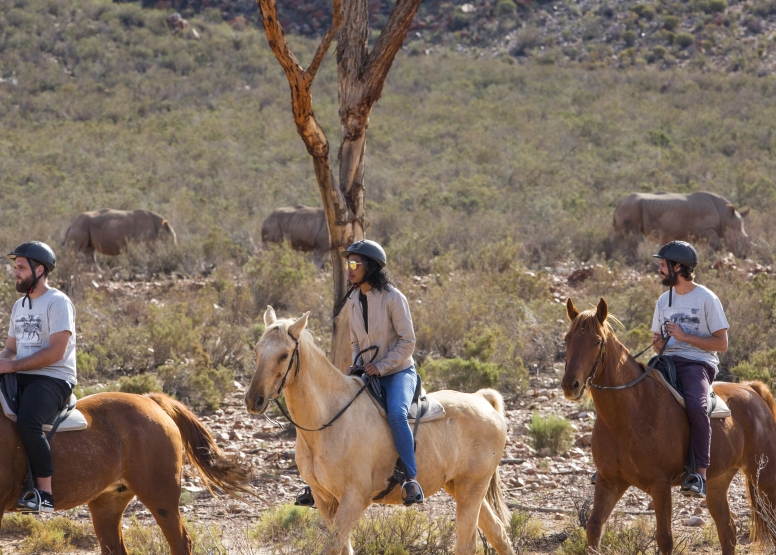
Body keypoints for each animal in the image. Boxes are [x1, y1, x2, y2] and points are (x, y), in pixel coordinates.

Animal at [246, 308, 520, 555]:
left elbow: (332, 547)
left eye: (284, 355)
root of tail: (482, 399)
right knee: (499, 535)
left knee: (468, 545)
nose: (253, 400)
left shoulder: (354, 500)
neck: (329, 420)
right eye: (256, 351)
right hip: (459, 487)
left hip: (471, 488)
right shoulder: (325, 500)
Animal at [560, 300, 776, 555]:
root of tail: (752, 389)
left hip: (764, 477)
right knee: (727, 530)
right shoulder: (609, 481)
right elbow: (594, 527)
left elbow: (665, 538)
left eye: (596, 341)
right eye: (567, 338)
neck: (628, 414)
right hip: (718, 480)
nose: (570, 385)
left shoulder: (660, 485)